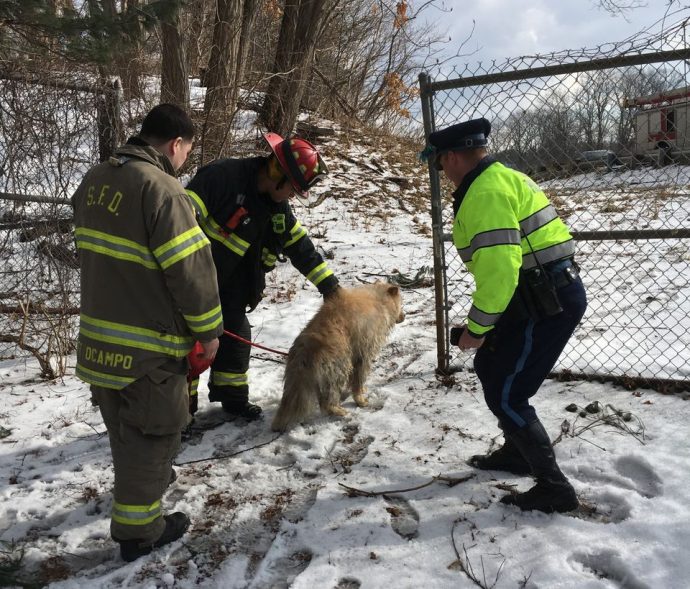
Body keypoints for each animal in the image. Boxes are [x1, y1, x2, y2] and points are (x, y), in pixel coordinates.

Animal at [270, 282, 404, 430]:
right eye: (401, 303)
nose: (404, 316)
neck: (379, 300)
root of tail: (304, 350)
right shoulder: (363, 353)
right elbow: (358, 379)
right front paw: (360, 399)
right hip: (337, 367)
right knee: (329, 399)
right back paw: (339, 411)